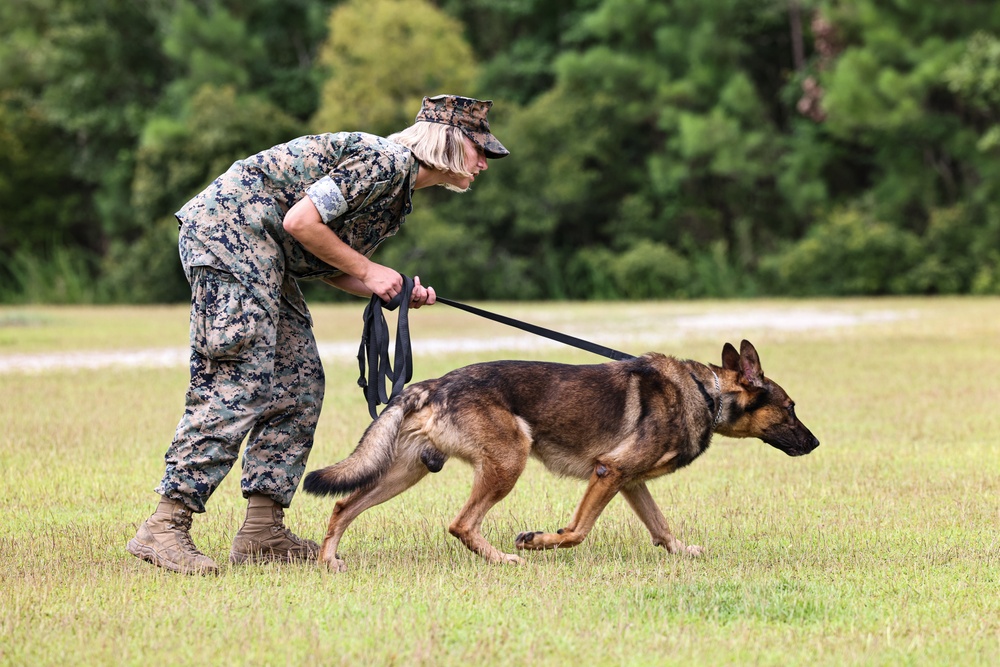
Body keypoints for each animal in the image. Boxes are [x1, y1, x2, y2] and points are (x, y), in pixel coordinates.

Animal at [304, 342, 820, 572]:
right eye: (791, 408)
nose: (816, 444)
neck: (706, 392)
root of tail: (433, 384)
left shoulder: (630, 481)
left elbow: (661, 528)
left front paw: (681, 551)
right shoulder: (609, 472)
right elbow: (577, 532)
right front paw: (537, 540)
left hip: (405, 473)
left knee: (343, 505)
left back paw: (329, 561)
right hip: (509, 460)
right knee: (461, 524)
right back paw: (504, 558)